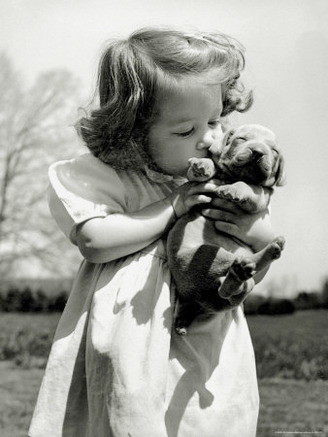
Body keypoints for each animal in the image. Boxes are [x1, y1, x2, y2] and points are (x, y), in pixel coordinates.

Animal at [168, 122, 286, 334]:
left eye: (273, 151)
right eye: (241, 139)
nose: (258, 153)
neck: (232, 175)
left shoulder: (261, 194)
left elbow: (247, 186)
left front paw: (233, 189)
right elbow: (204, 167)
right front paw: (201, 165)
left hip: (209, 256)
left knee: (239, 284)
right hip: (204, 263)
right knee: (234, 287)